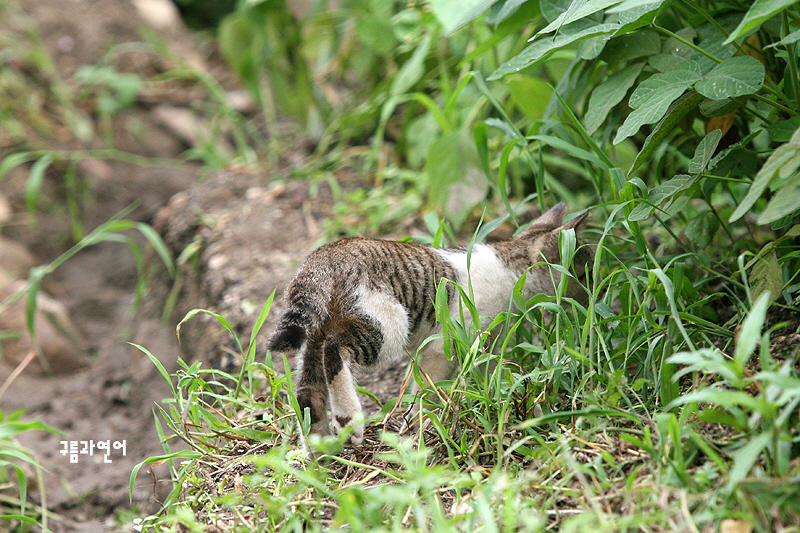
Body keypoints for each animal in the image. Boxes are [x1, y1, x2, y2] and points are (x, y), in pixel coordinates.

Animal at [266, 202, 592, 446]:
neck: (512, 270)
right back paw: (349, 420)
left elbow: (490, 373)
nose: (594, 295)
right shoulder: (446, 342)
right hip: (388, 323)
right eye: (584, 274)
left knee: (308, 388)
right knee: (335, 351)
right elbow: (431, 386)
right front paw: (426, 421)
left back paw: (319, 447)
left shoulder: (484, 341)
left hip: (317, 333)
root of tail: (326, 253)